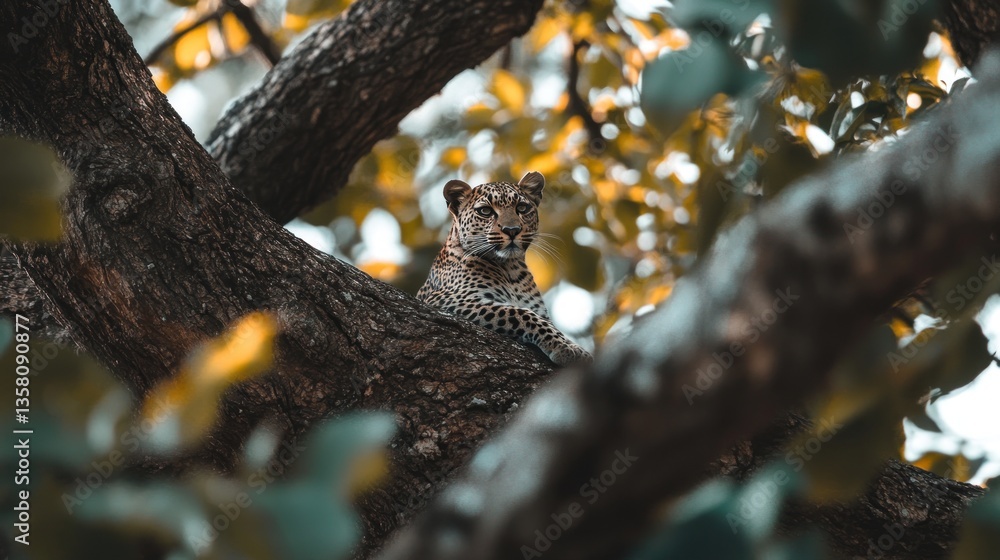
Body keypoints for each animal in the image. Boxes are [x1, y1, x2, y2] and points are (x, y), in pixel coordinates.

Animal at [417, 171, 592, 366]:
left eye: (522, 208)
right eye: (485, 211)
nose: (512, 230)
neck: (510, 268)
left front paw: (571, 345)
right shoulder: (448, 299)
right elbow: (521, 313)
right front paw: (565, 347)